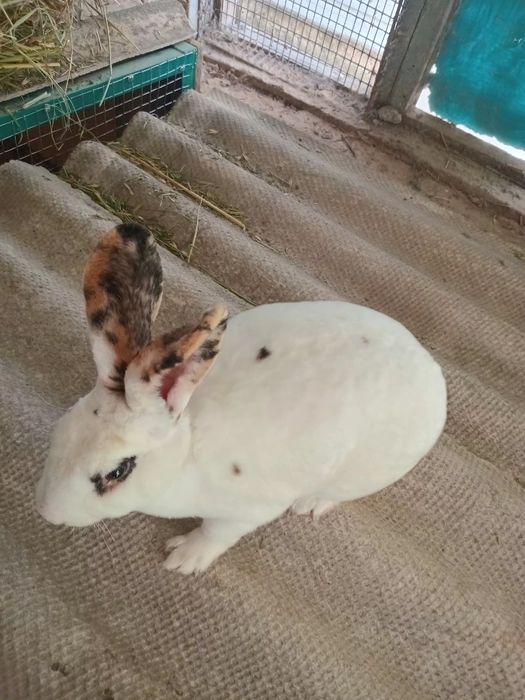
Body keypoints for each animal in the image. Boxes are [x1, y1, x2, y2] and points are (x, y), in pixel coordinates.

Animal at [36, 223, 447, 574]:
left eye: (118, 472)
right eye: (62, 427)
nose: (46, 512)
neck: (185, 452)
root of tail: (430, 368)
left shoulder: (247, 511)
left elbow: (217, 533)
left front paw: (182, 559)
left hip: (363, 474)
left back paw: (310, 504)